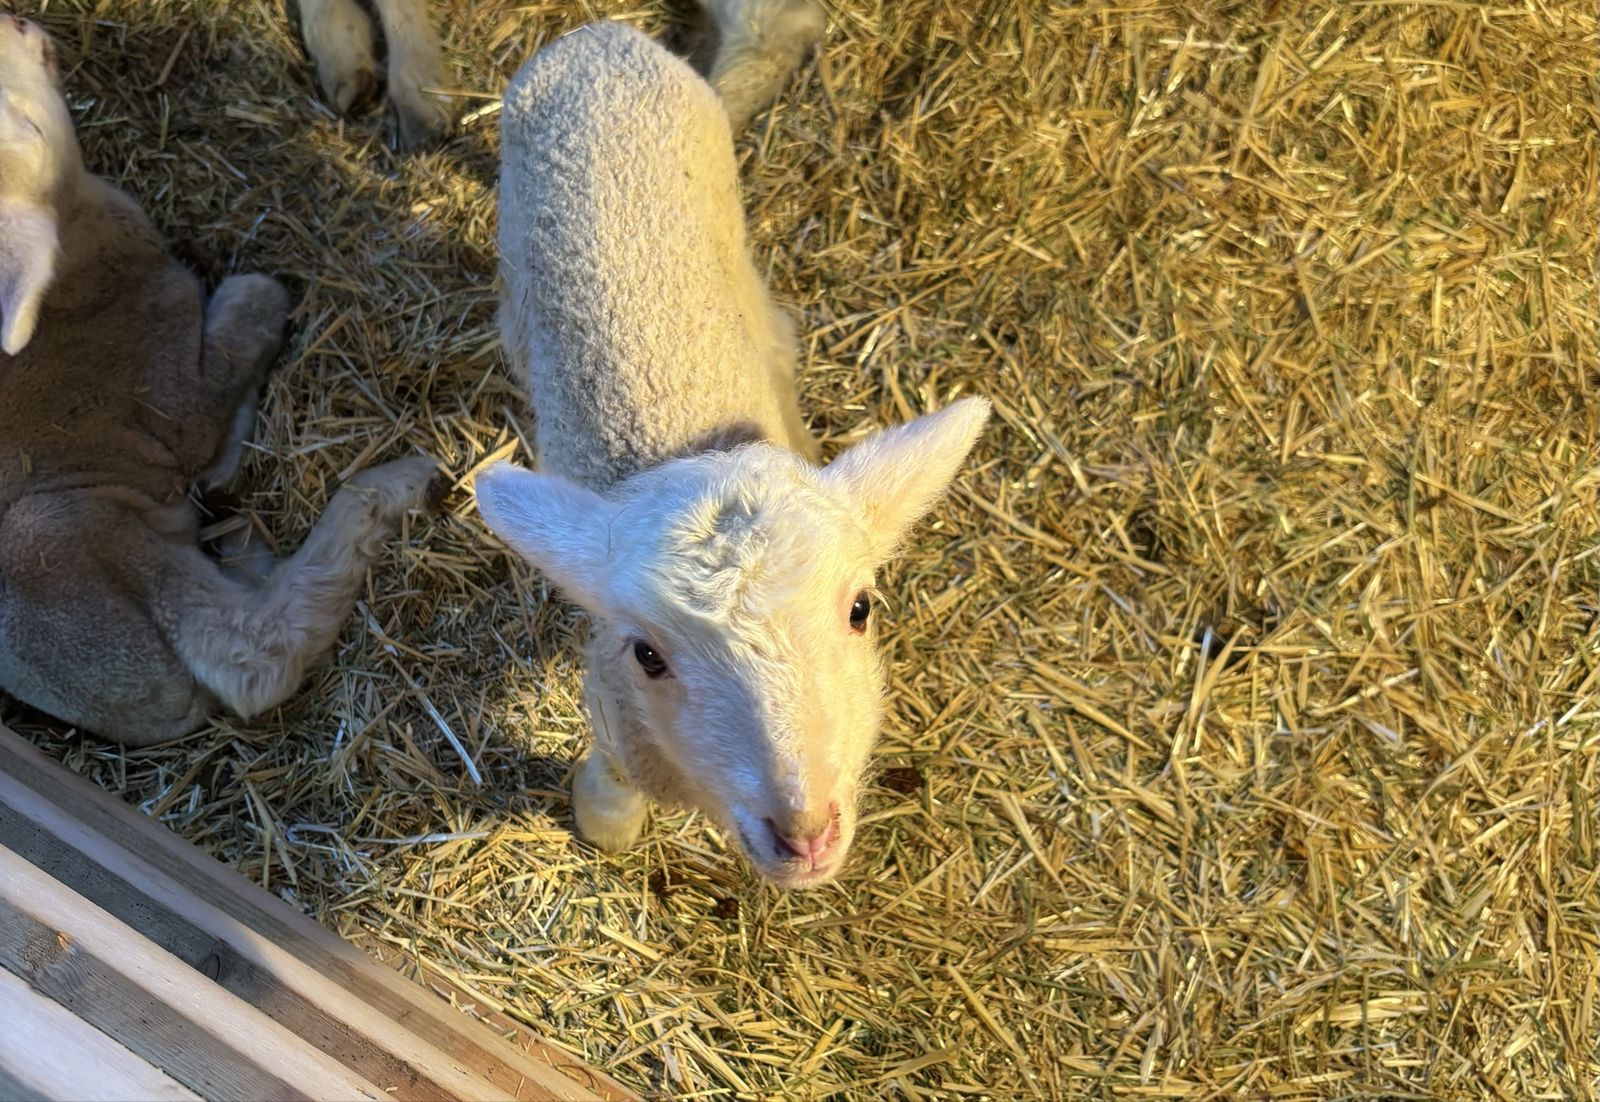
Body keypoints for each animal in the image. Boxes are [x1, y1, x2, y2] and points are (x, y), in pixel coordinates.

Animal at [0, 15, 443, 747]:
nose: (19, 20)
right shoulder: (171, 389)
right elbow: (251, 303)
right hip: (60, 537)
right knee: (255, 656)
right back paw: (397, 486)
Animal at [474, 21, 991, 889]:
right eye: (647, 654)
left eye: (861, 609)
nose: (805, 834)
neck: (696, 434)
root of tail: (600, 37)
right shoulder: (612, 701)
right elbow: (613, 792)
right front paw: (606, 821)